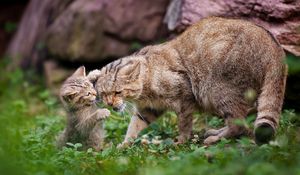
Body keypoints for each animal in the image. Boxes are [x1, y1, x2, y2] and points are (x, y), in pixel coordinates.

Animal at [88, 16, 286, 145]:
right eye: (103, 94)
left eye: (118, 92)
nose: (110, 104)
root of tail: (275, 46)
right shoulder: (148, 110)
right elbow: (134, 126)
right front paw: (125, 145)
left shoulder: (184, 99)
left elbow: (183, 125)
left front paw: (181, 141)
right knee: (242, 123)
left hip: (220, 90)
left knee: (239, 124)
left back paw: (214, 138)